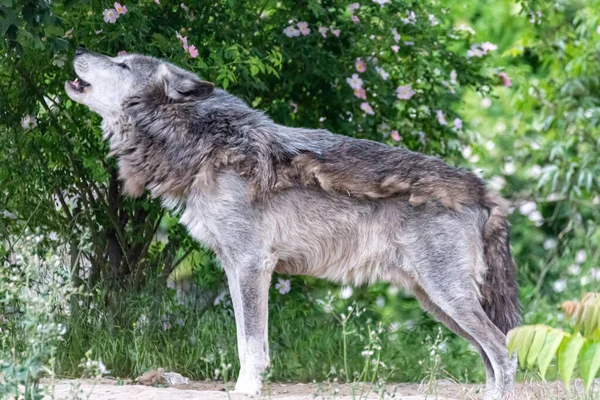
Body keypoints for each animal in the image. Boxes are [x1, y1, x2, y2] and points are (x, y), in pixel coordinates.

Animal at [63, 50, 516, 400]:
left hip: (447, 297)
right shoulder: (235, 268)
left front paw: (246, 390)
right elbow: (245, 341)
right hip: (436, 301)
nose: (78, 50)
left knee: (503, 351)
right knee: (490, 354)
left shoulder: (251, 265)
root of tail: (481, 189)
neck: (203, 145)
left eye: (122, 64)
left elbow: (251, 346)